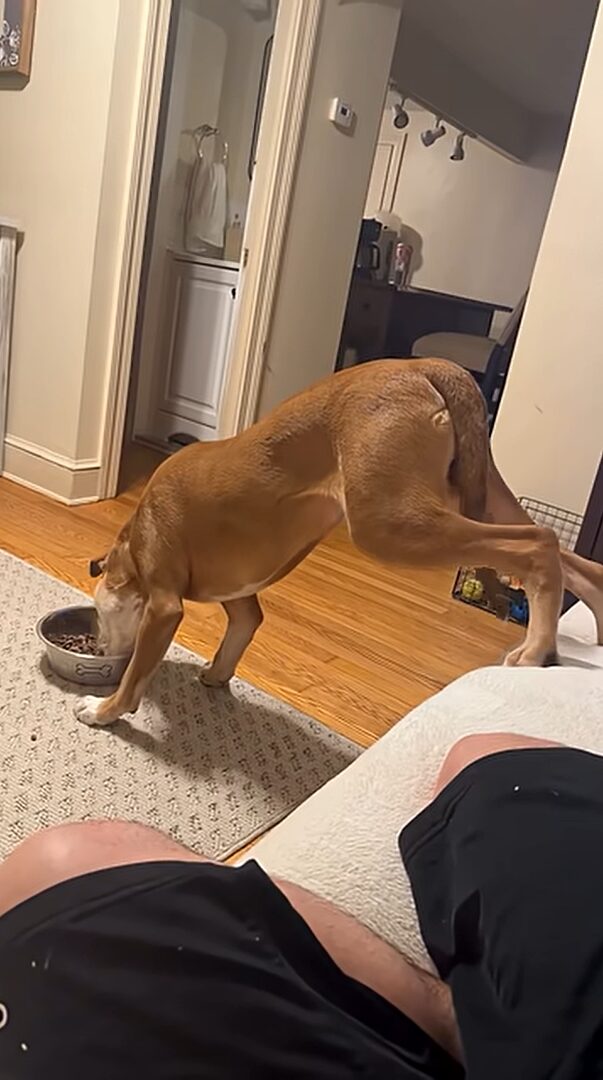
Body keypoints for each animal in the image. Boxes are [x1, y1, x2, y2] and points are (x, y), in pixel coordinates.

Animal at [76, 358, 603, 726]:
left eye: (99, 614)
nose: (97, 648)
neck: (133, 542)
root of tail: (423, 365)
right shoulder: (241, 598)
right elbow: (240, 633)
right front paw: (215, 676)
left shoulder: (165, 606)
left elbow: (136, 674)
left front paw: (104, 709)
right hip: (477, 493)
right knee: (569, 556)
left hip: (392, 524)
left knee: (537, 544)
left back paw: (534, 651)